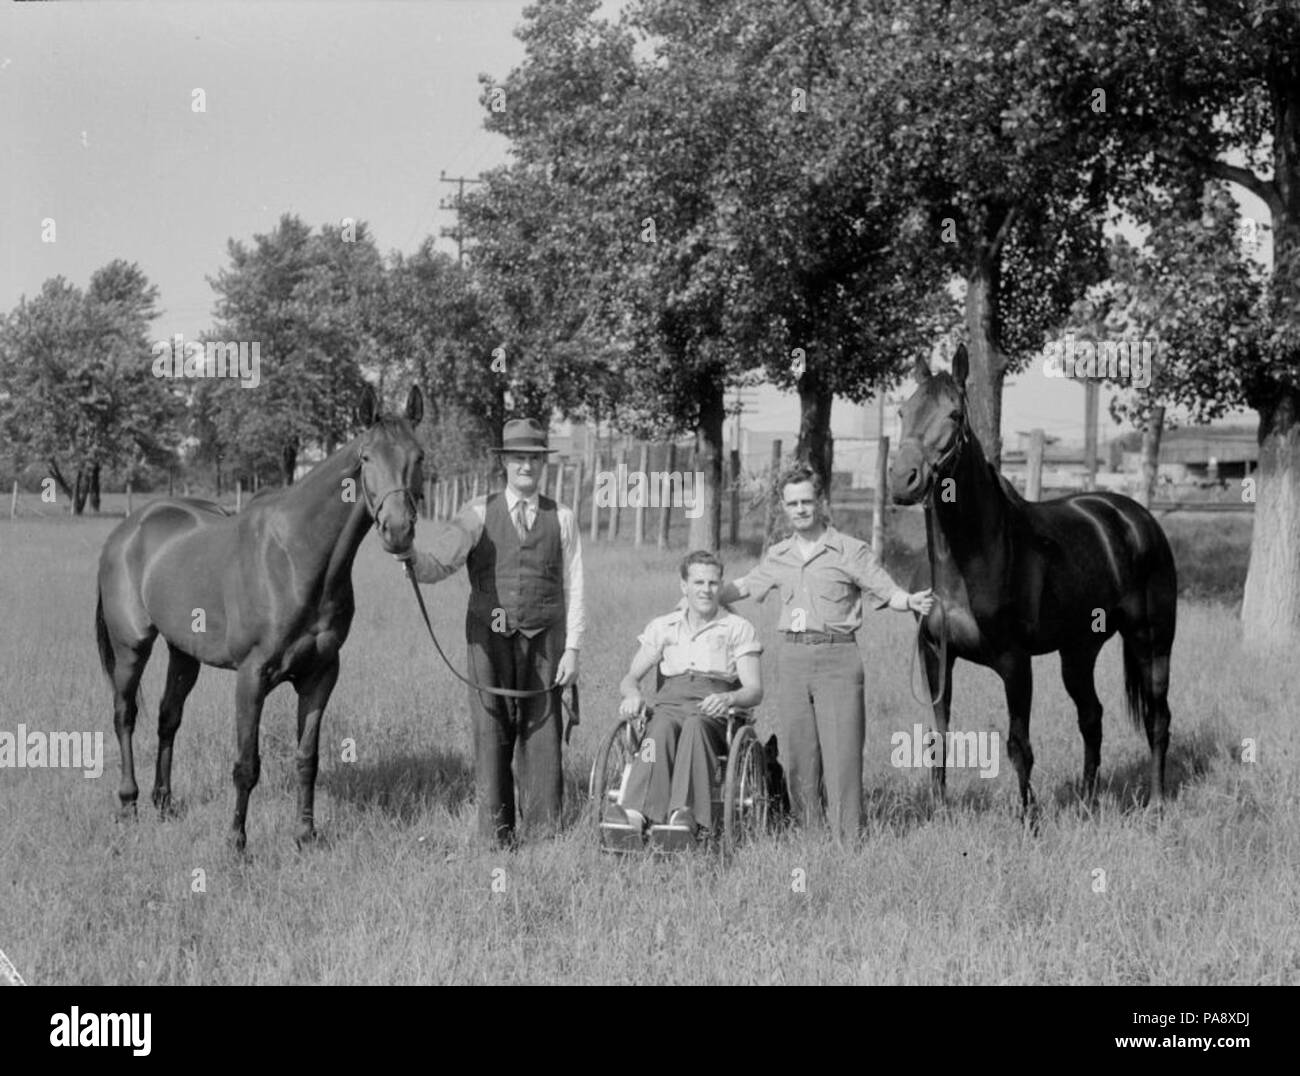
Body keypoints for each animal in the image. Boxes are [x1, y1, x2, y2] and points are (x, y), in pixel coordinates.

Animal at [94, 384, 425, 850]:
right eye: (366, 458)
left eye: (419, 456)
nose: (398, 531)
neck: (294, 558)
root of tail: (129, 529)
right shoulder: (252, 677)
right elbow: (246, 765)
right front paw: (236, 842)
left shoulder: (321, 674)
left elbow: (308, 758)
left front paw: (306, 835)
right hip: (131, 646)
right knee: (125, 715)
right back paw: (129, 804)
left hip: (183, 652)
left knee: (167, 718)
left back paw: (164, 802)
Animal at [889, 346, 1176, 815]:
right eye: (902, 410)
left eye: (954, 414)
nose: (903, 480)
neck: (969, 561)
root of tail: (1135, 518)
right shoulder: (935, 654)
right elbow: (939, 737)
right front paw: (939, 811)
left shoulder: (1014, 662)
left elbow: (1018, 746)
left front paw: (1028, 818)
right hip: (1079, 651)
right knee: (1092, 718)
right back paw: (1087, 800)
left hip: (1152, 641)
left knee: (1158, 718)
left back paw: (1155, 802)